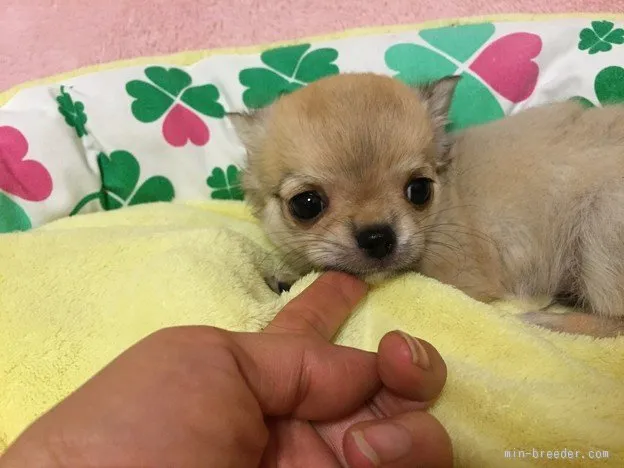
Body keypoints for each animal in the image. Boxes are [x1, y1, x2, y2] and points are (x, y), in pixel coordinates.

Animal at [229, 73, 624, 336]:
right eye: (307, 205)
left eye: (419, 190)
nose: (378, 238)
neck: (450, 194)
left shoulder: (459, 276)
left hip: (599, 231)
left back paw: (550, 320)